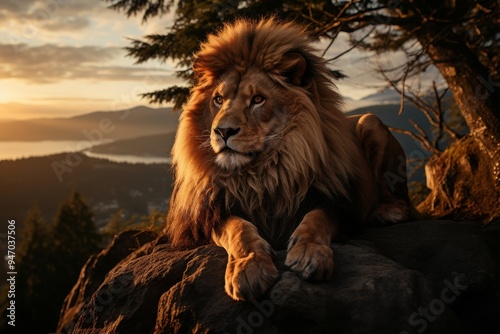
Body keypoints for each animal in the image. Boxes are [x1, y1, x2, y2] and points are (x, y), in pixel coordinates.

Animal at [165, 17, 418, 302]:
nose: (223, 131)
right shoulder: (212, 214)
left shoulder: (334, 202)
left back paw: (387, 213)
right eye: (218, 99)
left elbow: (315, 221)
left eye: (258, 99)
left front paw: (309, 253)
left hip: (370, 122)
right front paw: (248, 268)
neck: (262, 172)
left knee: (402, 200)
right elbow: (238, 229)